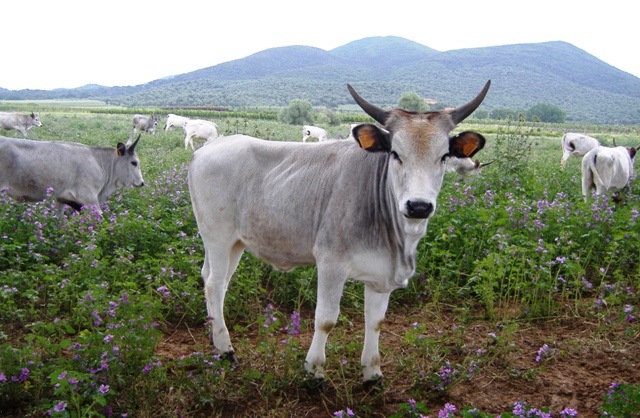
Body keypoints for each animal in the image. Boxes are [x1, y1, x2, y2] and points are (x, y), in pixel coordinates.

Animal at [188, 80, 492, 384]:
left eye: (444, 156)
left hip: (235, 243)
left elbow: (376, 321)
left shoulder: (381, 272)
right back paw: (225, 349)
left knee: (214, 280)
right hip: (217, 236)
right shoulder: (331, 262)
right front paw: (314, 370)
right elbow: (326, 319)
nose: (418, 206)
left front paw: (372, 372)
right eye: (395, 154)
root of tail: (207, 148)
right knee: (214, 284)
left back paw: (214, 337)